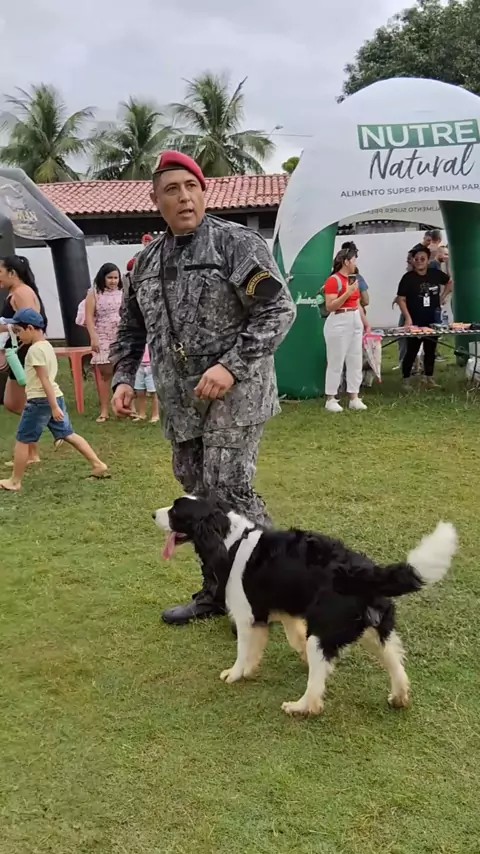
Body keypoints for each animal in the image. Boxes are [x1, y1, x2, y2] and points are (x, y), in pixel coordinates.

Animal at [154, 495, 458, 716]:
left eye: (176, 511)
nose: (153, 514)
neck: (231, 540)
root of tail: (363, 572)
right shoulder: (281, 610)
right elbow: (287, 639)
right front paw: (257, 668)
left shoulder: (246, 615)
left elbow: (243, 651)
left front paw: (235, 674)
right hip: (375, 629)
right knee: (396, 663)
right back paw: (399, 697)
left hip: (324, 633)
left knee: (316, 687)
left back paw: (300, 707)